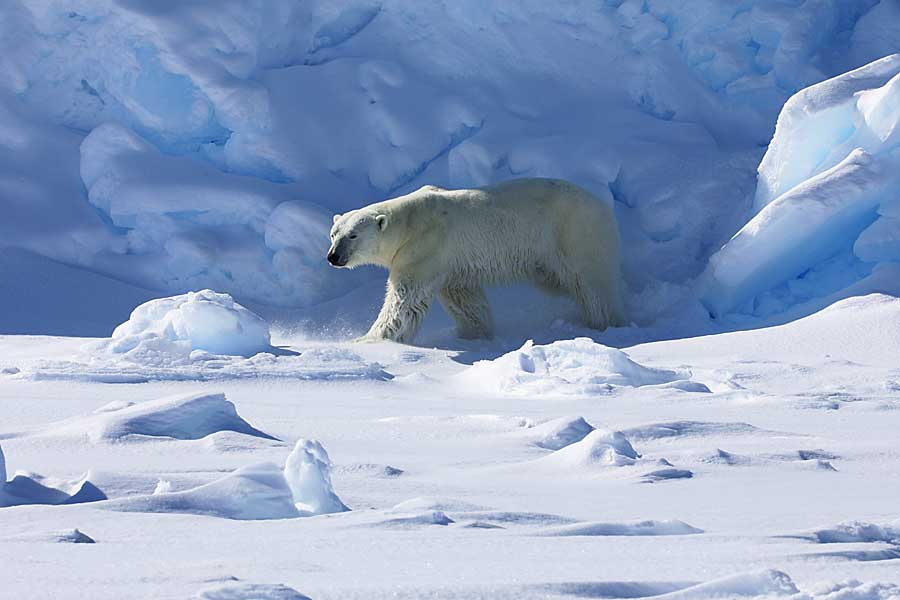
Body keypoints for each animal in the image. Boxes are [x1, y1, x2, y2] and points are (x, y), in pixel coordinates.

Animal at [326, 178, 624, 342]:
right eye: (333, 233)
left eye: (353, 235)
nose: (333, 257)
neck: (409, 222)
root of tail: (603, 206)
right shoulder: (451, 264)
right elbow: (465, 299)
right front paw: (475, 334)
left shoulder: (422, 251)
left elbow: (404, 302)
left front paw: (368, 339)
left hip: (574, 234)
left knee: (592, 284)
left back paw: (606, 321)